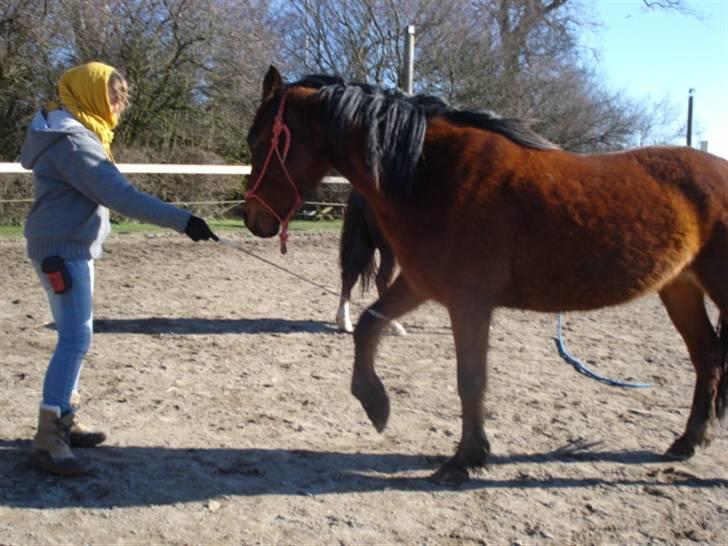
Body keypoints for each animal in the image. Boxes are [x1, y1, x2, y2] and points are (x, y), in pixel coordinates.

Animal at [334, 189, 404, 334]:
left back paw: (344, 321)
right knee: (382, 280)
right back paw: (394, 325)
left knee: (350, 275)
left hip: (364, 243)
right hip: (390, 250)